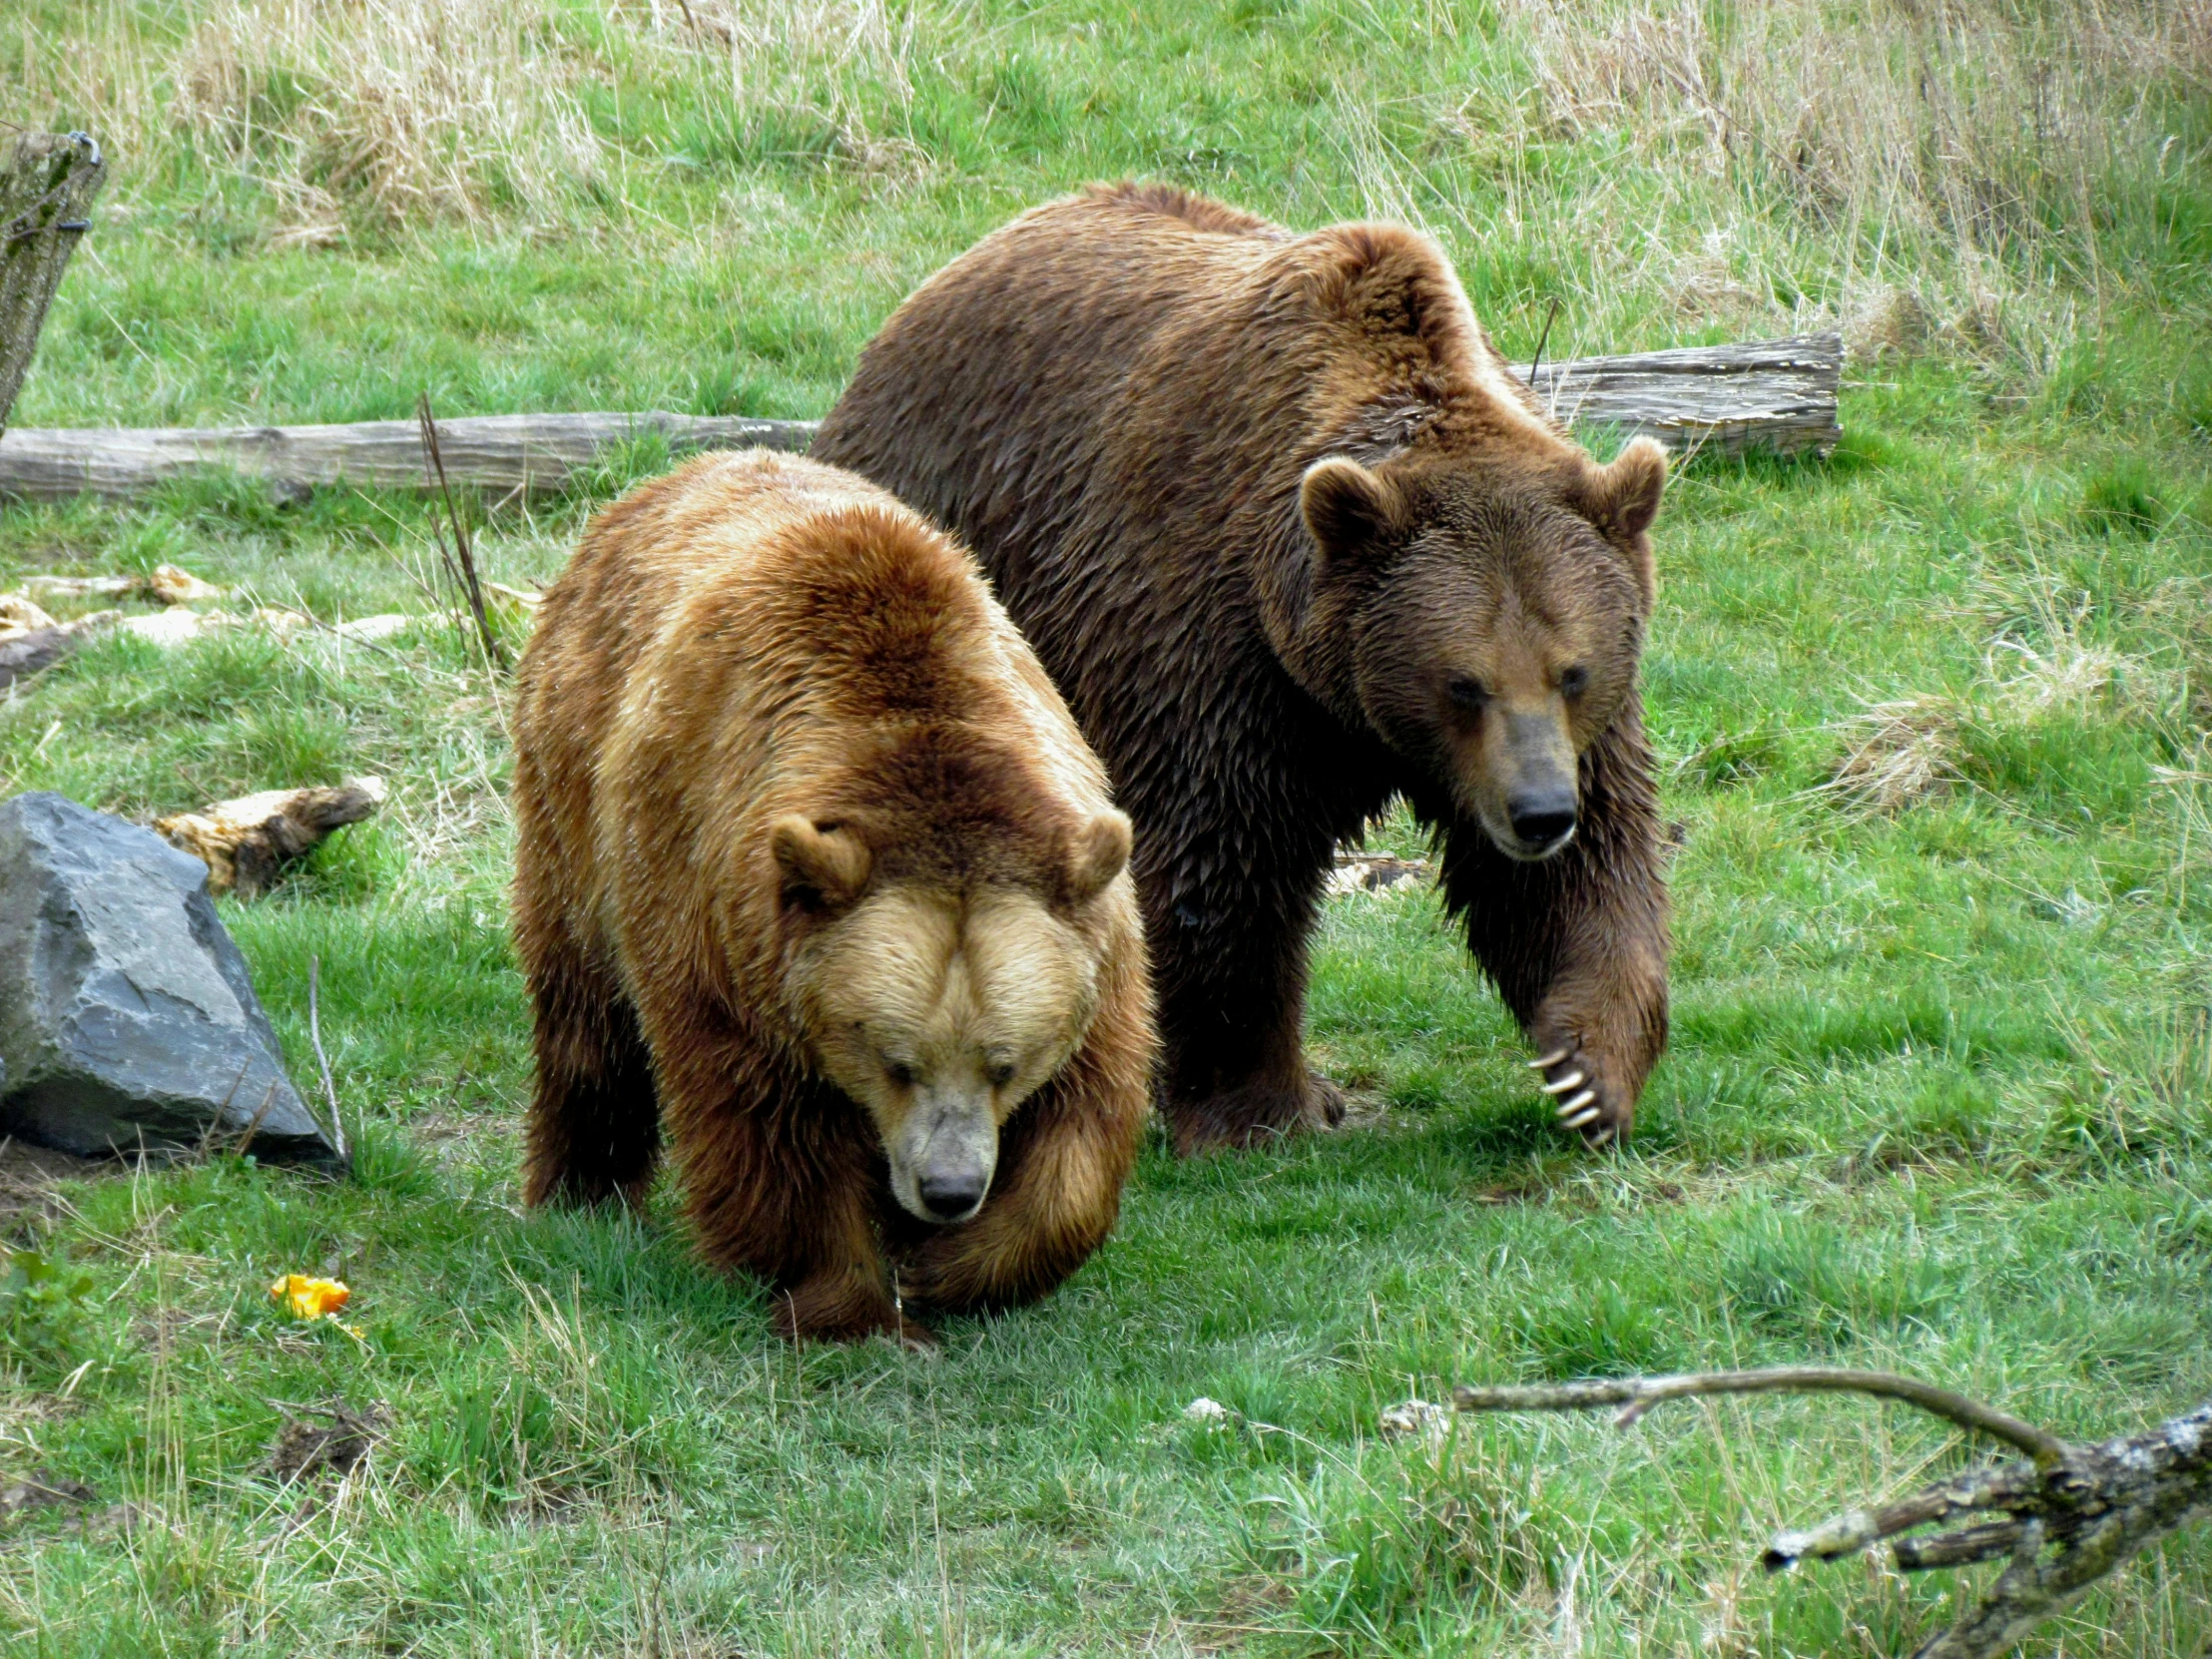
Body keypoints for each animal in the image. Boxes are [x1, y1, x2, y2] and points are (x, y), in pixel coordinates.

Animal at [506, 448, 1150, 1345]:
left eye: (1004, 1062)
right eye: (896, 1061)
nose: (948, 1191)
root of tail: (673, 476)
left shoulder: (1089, 930)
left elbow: (1081, 1128)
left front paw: (952, 1270)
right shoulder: (718, 922)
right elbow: (768, 1133)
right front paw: (852, 1302)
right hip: (571, 789)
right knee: (585, 1013)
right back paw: (580, 1193)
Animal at [823, 176, 1663, 1150]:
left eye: (1573, 672)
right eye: (1464, 683)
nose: (1538, 813)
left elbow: (1581, 870)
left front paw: (1587, 1074)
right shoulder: (1216, 645)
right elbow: (1219, 859)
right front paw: (1262, 1108)